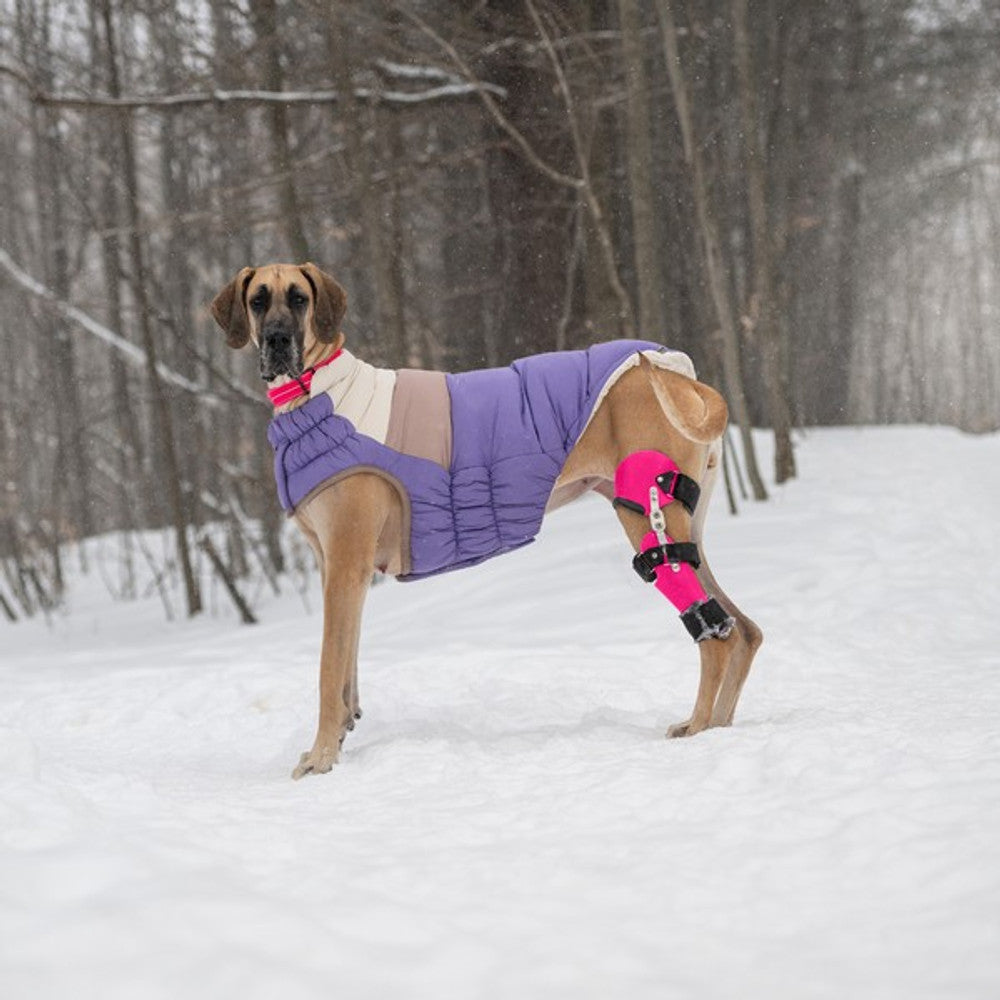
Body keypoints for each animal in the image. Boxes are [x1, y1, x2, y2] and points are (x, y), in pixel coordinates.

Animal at [210, 263, 762, 778]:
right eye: (258, 301)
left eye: (298, 299)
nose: (278, 340)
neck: (322, 393)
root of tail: (677, 372)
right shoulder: (339, 570)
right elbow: (347, 667)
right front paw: (340, 735)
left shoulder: (346, 564)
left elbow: (328, 670)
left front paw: (322, 757)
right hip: (682, 525)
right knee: (744, 628)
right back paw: (719, 725)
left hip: (646, 516)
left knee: (718, 635)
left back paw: (698, 729)